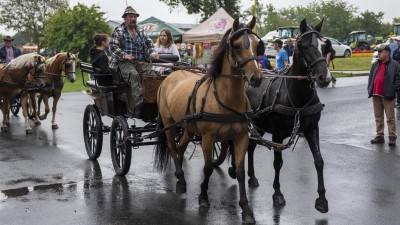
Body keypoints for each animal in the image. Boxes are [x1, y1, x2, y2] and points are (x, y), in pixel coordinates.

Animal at [155, 17, 264, 223]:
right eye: (237, 46)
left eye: (257, 45)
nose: (256, 78)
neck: (226, 98)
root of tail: (171, 74)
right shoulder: (208, 138)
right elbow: (207, 168)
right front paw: (203, 197)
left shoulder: (241, 138)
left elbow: (240, 172)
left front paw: (246, 209)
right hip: (168, 123)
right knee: (172, 147)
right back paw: (180, 180)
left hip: (188, 127)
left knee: (181, 147)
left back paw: (180, 176)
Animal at [222, 18, 332, 214]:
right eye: (304, 46)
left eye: (325, 46)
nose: (324, 78)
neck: (297, 97)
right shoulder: (278, 134)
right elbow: (277, 162)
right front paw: (277, 194)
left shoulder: (312, 129)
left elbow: (319, 161)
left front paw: (321, 199)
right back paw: (235, 169)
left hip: (257, 125)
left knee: (250, 146)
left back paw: (252, 177)